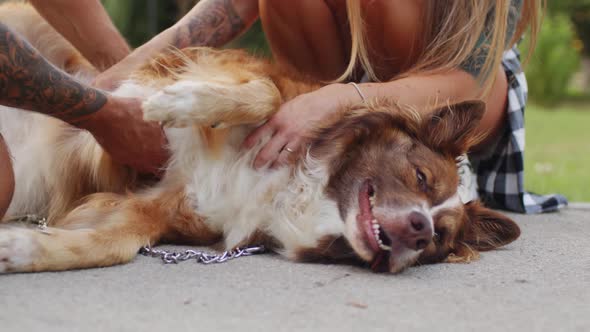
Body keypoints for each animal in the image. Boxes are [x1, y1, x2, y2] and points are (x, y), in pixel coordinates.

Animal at [0, 2, 520, 274]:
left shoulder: (154, 206)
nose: (420, 229)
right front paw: (180, 102)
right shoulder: (216, 66)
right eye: (420, 176)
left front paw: (22, 248)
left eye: (439, 240)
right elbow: (267, 95)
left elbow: (112, 244)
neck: (299, 184)